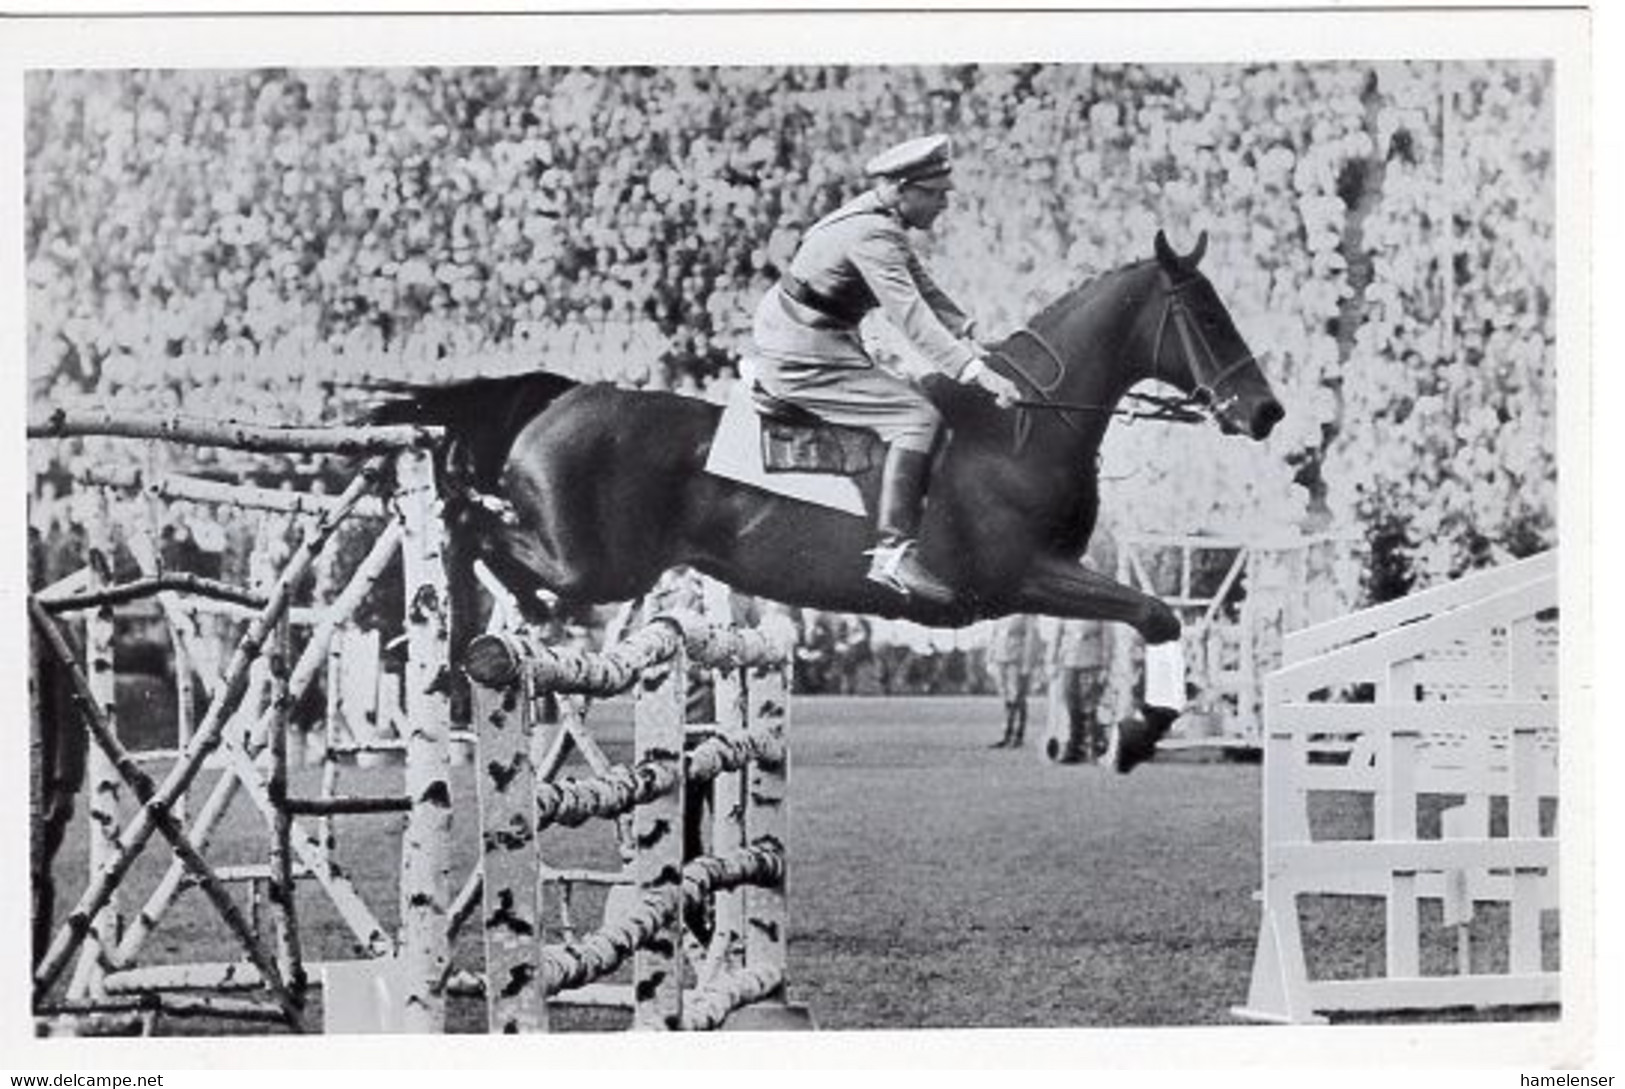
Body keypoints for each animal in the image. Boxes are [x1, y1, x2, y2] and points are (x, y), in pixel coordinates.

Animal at [365, 234, 1280, 773]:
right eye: (1205, 315)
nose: (1263, 412)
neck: (1018, 426)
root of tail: (562, 397)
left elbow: (1150, 615)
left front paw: (1138, 729)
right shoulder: (1024, 575)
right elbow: (1154, 614)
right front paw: (1137, 732)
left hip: (598, 566)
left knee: (478, 530)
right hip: (596, 565)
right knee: (469, 523)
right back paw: (463, 656)